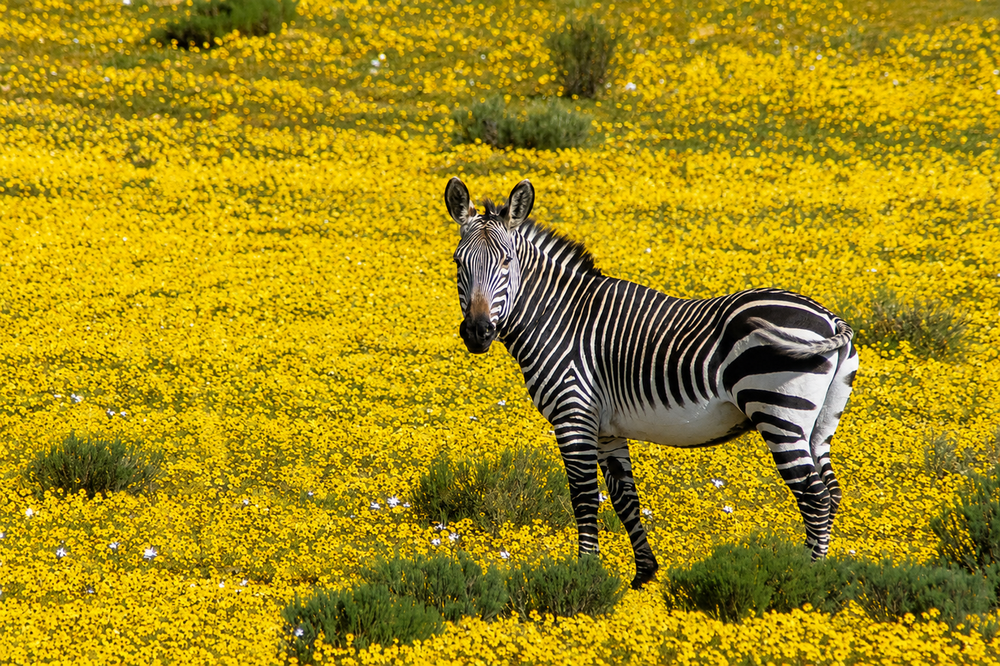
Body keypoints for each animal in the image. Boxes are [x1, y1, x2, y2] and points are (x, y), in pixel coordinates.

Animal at [444, 177, 859, 590]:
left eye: (506, 261)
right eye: (458, 263)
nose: (477, 332)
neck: (558, 317)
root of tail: (831, 320)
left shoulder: (573, 414)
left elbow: (583, 497)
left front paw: (585, 573)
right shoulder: (606, 428)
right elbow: (624, 498)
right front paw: (644, 574)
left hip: (778, 410)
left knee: (814, 497)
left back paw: (807, 577)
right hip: (819, 425)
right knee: (831, 493)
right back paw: (822, 572)